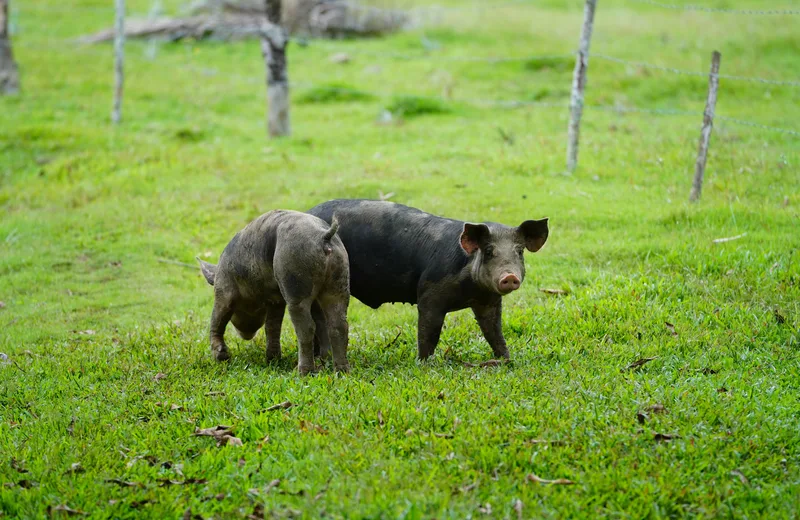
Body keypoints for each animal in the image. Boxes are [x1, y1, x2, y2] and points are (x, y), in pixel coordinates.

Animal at [308, 197, 552, 360]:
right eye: (490, 251)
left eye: (519, 251)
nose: (509, 276)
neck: (470, 290)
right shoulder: (429, 293)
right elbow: (429, 330)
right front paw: (424, 362)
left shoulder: (489, 301)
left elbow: (493, 330)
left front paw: (506, 358)